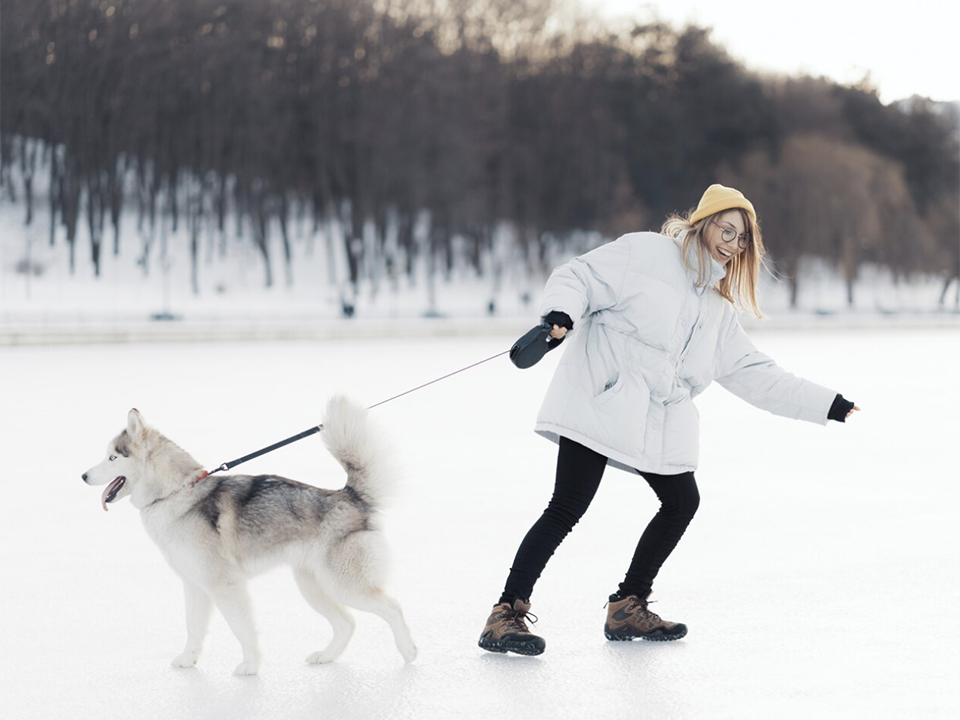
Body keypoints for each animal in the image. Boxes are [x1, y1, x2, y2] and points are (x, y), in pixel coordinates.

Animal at [79, 394, 416, 676]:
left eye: (112, 458)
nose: (83, 475)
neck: (177, 493)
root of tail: (348, 497)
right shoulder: (195, 585)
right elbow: (193, 627)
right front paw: (188, 660)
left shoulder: (225, 585)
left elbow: (241, 628)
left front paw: (251, 666)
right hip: (313, 586)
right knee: (347, 623)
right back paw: (326, 656)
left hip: (342, 584)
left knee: (392, 607)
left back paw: (408, 651)